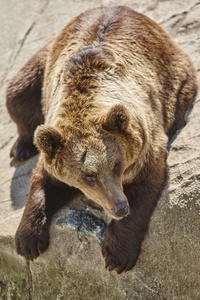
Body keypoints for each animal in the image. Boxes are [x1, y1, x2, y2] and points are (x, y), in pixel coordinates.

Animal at [5, 5, 197, 274]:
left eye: (117, 165)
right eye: (88, 176)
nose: (119, 207)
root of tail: (118, 6)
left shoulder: (146, 142)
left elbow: (143, 187)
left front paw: (117, 255)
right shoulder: (55, 144)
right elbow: (43, 182)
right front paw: (27, 240)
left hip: (173, 74)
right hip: (44, 60)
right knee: (18, 92)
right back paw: (21, 147)